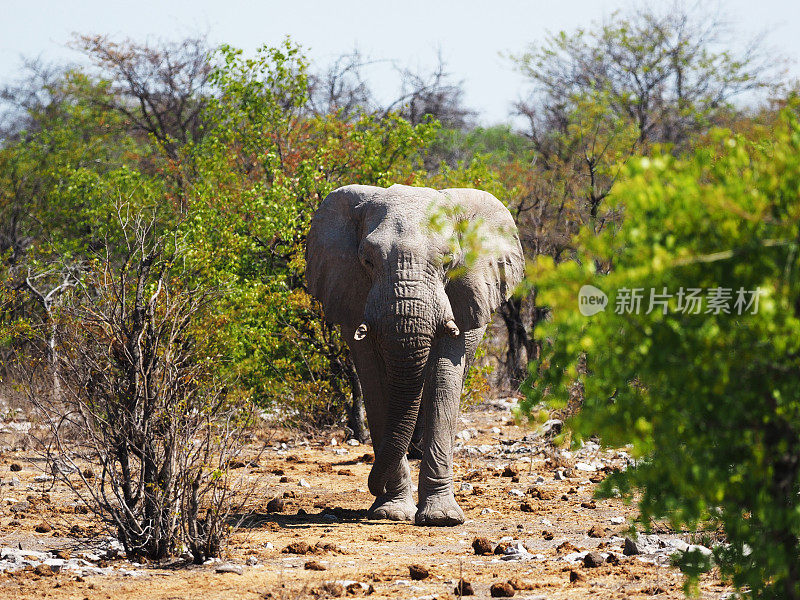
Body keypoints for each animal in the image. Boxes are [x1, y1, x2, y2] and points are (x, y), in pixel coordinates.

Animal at [304, 184, 520, 524]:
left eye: (448, 262)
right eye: (367, 261)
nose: (374, 486)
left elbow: (444, 378)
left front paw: (442, 519)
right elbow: (375, 382)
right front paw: (391, 512)